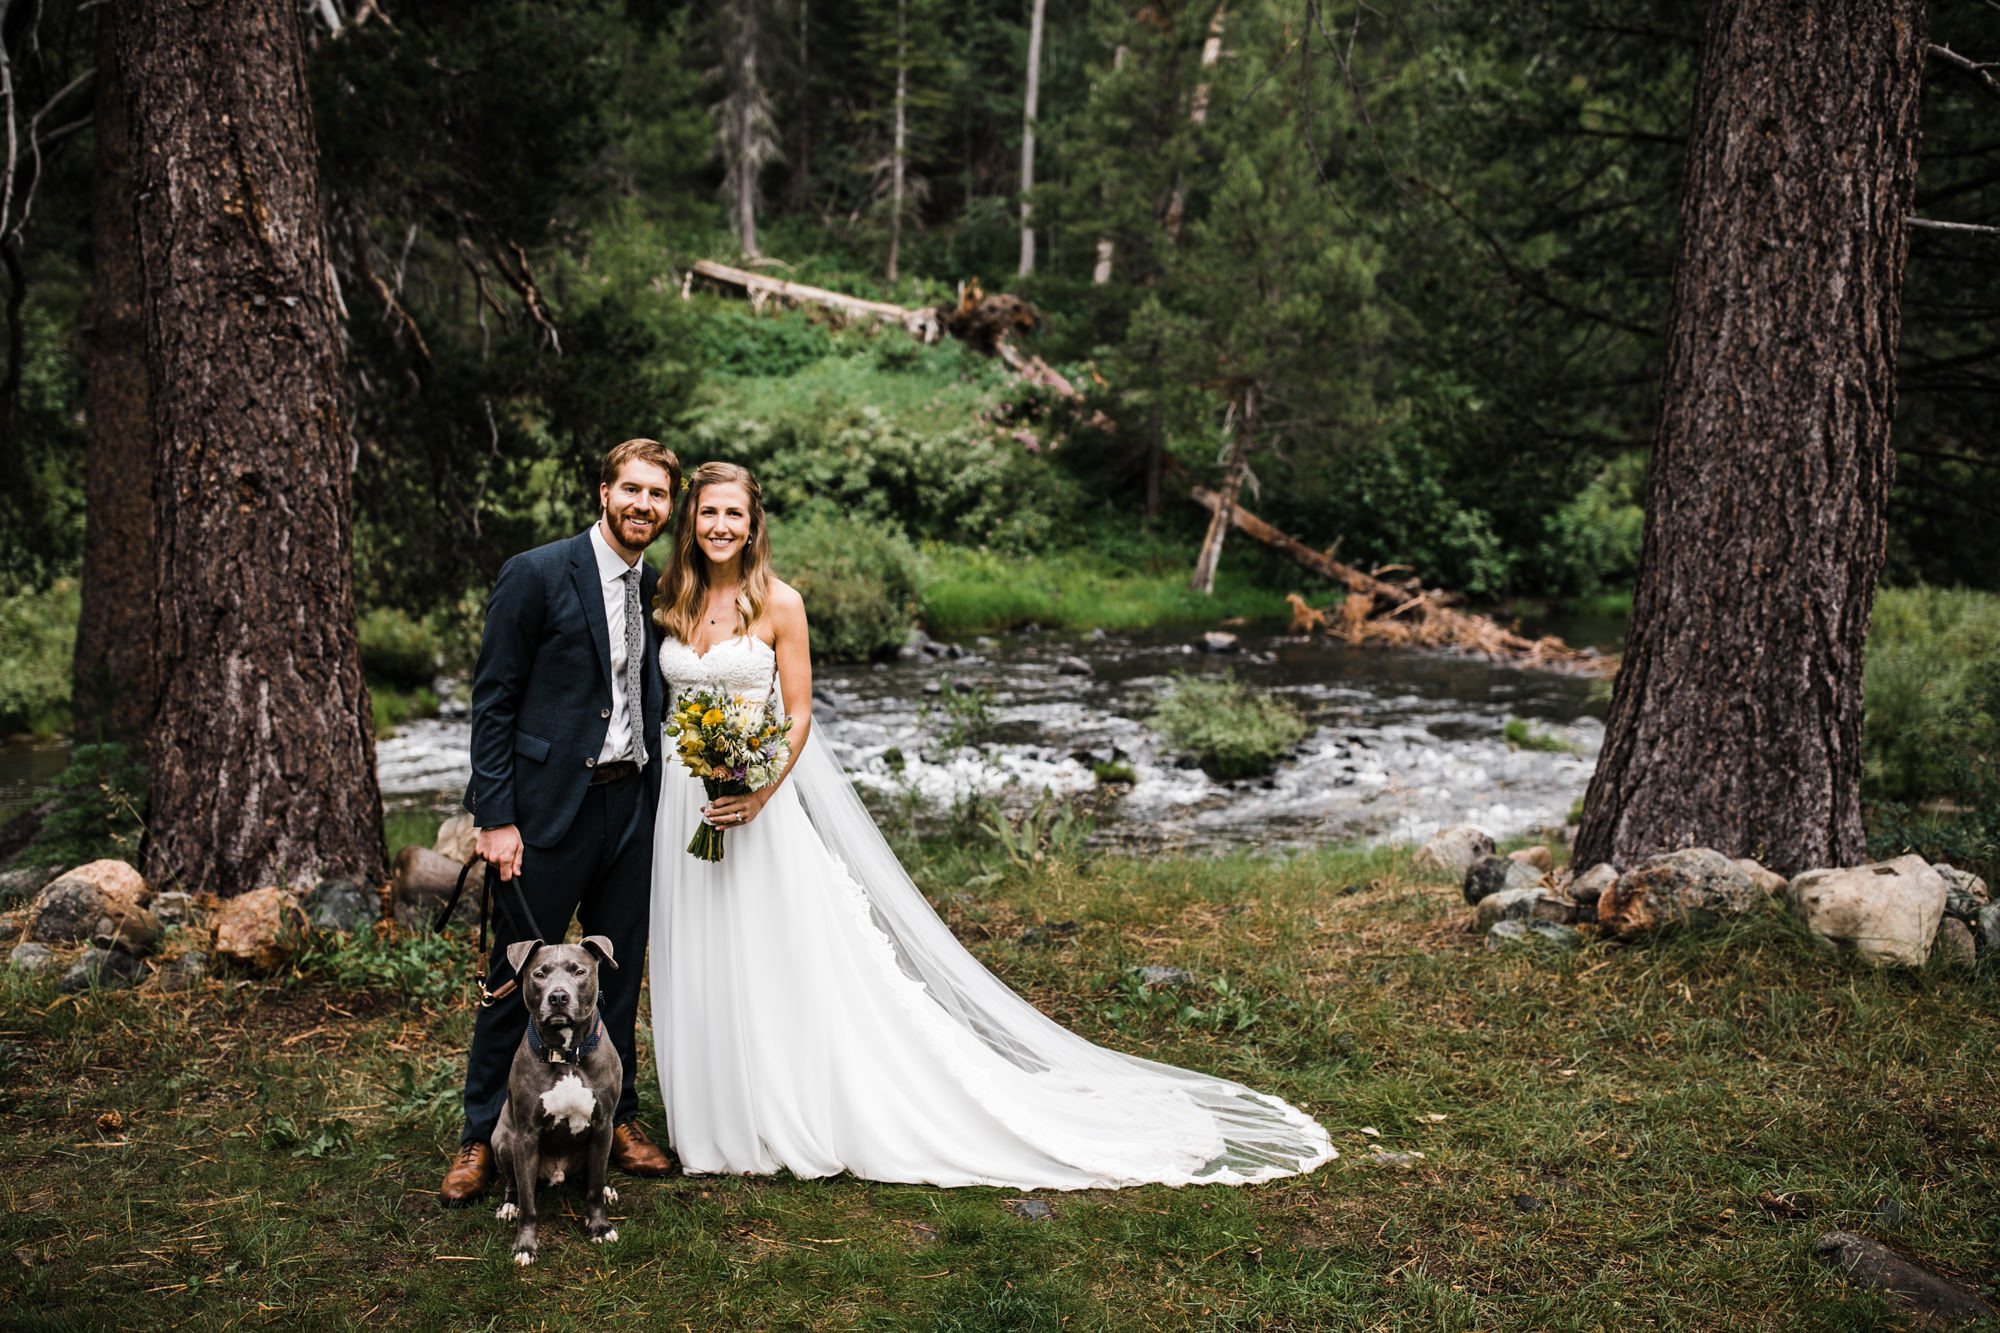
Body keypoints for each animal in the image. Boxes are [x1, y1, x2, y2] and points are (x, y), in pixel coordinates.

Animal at [488, 932, 620, 1256]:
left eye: (579, 971)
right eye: (539, 974)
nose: (558, 997)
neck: (567, 1054)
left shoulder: (603, 1126)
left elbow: (594, 1187)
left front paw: (600, 1227)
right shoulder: (526, 1136)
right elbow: (528, 1202)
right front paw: (525, 1245)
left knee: (592, 1177)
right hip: (503, 1140)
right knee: (513, 1183)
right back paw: (508, 1205)